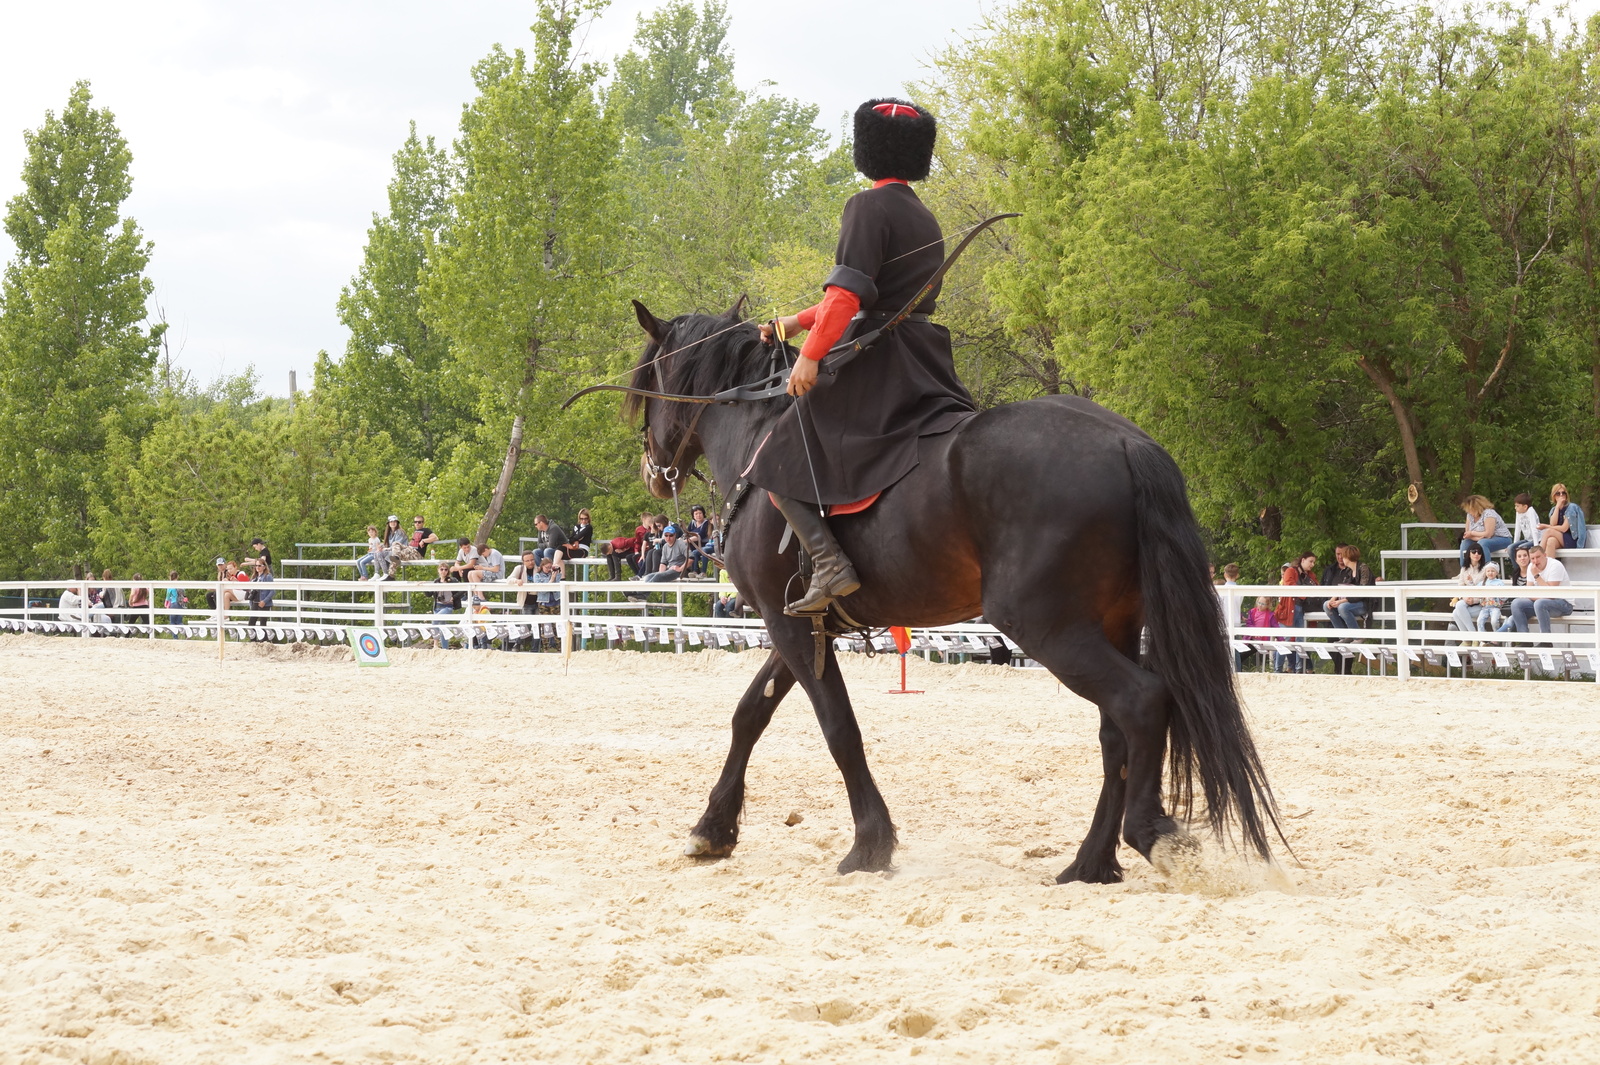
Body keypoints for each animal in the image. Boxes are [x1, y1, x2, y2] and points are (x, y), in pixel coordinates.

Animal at [617, 295, 1280, 876]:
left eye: (645, 390)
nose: (651, 471)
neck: (758, 439)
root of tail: (1126, 440)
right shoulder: (803, 626)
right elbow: (751, 712)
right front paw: (712, 830)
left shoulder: (787, 625)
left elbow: (838, 727)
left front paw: (870, 845)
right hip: (1110, 623)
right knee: (1114, 731)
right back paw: (1089, 865)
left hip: (1045, 626)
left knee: (1139, 703)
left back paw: (1150, 836)